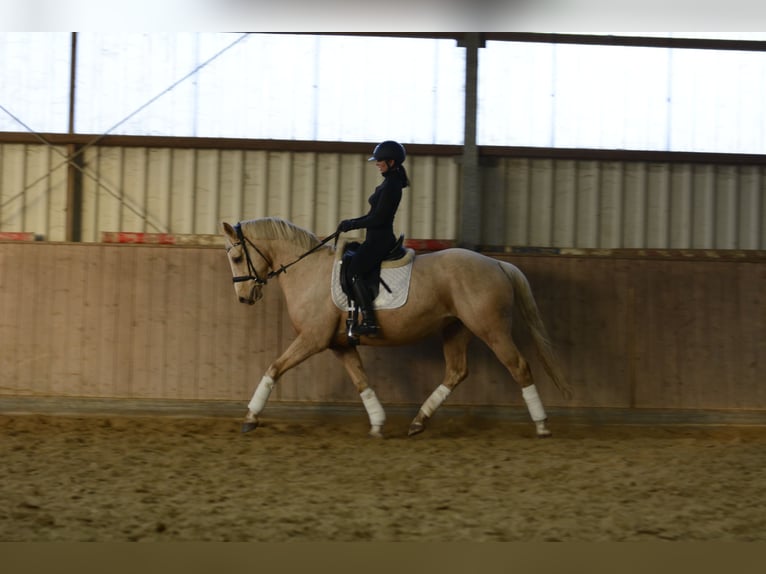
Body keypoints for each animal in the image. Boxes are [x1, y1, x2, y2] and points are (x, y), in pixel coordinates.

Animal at [222, 217, 571, 438]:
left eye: (237, 258)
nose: (243, 297)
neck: (307, 270)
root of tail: (497, 263)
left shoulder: (313, 339)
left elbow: (274, 367)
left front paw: (250, 418)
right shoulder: (340, 344)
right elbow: (361, 381)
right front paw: (377, 423)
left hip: (491, 329)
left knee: (519, 366)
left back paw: (542, 425)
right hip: (456, 329)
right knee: (456, 372)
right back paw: (418, 422)